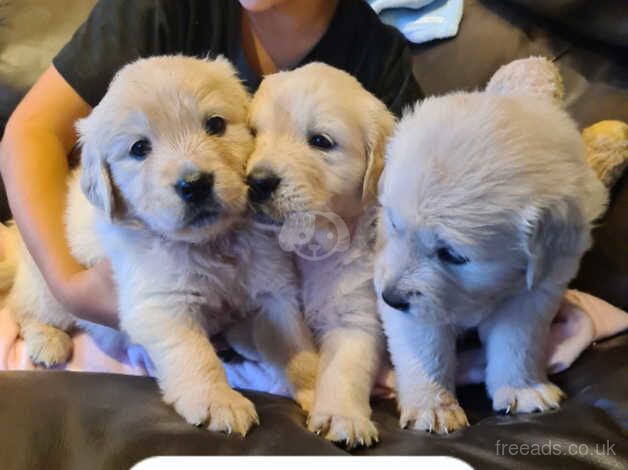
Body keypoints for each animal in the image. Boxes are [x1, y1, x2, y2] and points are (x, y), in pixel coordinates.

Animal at [4, 56, 316, 436]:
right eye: (139, 148)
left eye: (215, 124)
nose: (194, 184)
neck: (211, 242)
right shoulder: (160, 303)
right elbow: (194, 354)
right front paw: (218, 401)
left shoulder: (274, 290)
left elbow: (297, 347)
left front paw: (325, 396)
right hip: (48, 292)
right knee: (23, 310)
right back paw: (47, 341)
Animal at [244, 63, 394, 448]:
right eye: (253, 133)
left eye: (321, 142)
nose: (257, 182)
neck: (310, 245)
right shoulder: (275, 303)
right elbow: (298, 357)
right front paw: (313, 397)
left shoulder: (355, 312)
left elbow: (345, 366)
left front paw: (342, 416)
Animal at [376, 91, 604, 434]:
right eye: (393, 225)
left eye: (452, 255)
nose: (390, 298)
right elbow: (425, 347)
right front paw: (434, 406)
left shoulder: (538, 289)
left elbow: (518, 341)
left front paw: (522, 388)